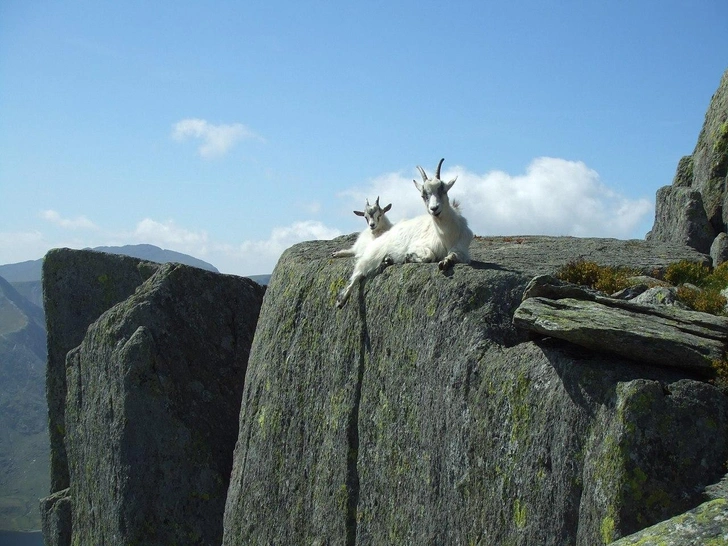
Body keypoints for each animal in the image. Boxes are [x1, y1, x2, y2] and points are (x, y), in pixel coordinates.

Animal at [336, 159, 472, 308]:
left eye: (443, 190)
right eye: (423, 195)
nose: (434, 209)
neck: (447, 237)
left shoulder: (463, 250)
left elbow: (454, 256)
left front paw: (445, 262)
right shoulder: (419, 246)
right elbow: (429, 255)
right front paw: (409, 257)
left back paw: (388, 260)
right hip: (373, 253)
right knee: (357, 273)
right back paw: (341, 300)